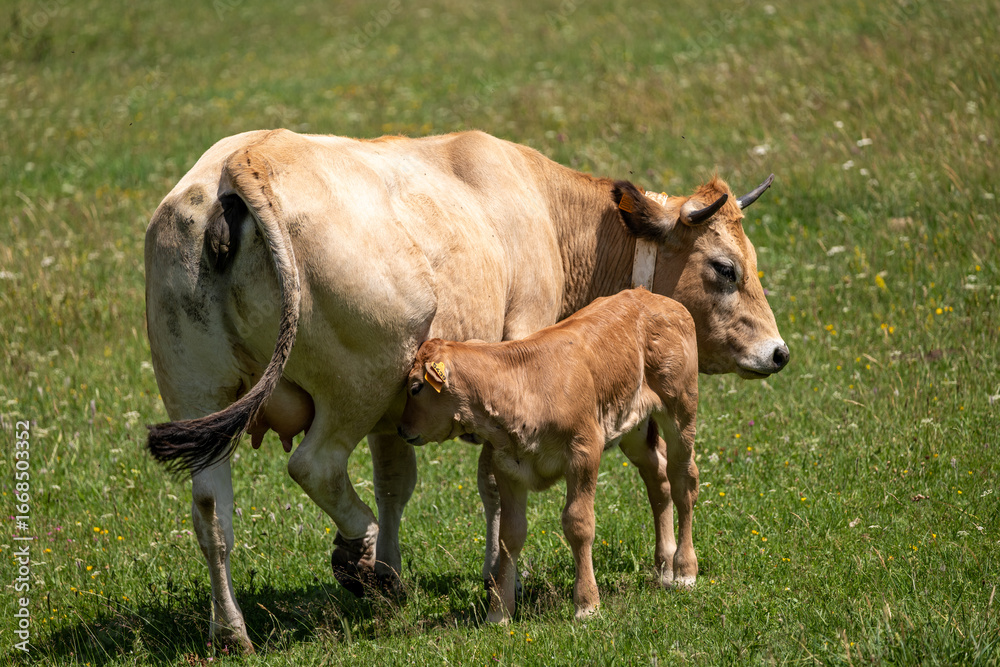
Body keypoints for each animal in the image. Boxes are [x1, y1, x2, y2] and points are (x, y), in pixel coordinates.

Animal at [397, 288, 699, 623]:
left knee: (683, 480)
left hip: (681, 409)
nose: (401, 428)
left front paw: (587, 604)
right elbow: (510, 534)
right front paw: (499, 612)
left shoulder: (584, 452)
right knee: (659, 478)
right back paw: (664, 567)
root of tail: (650, 296)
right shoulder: (507, 467)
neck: (524, 387)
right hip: (633, 424)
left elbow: (578, 524)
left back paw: (684, 570)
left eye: (415, 387)